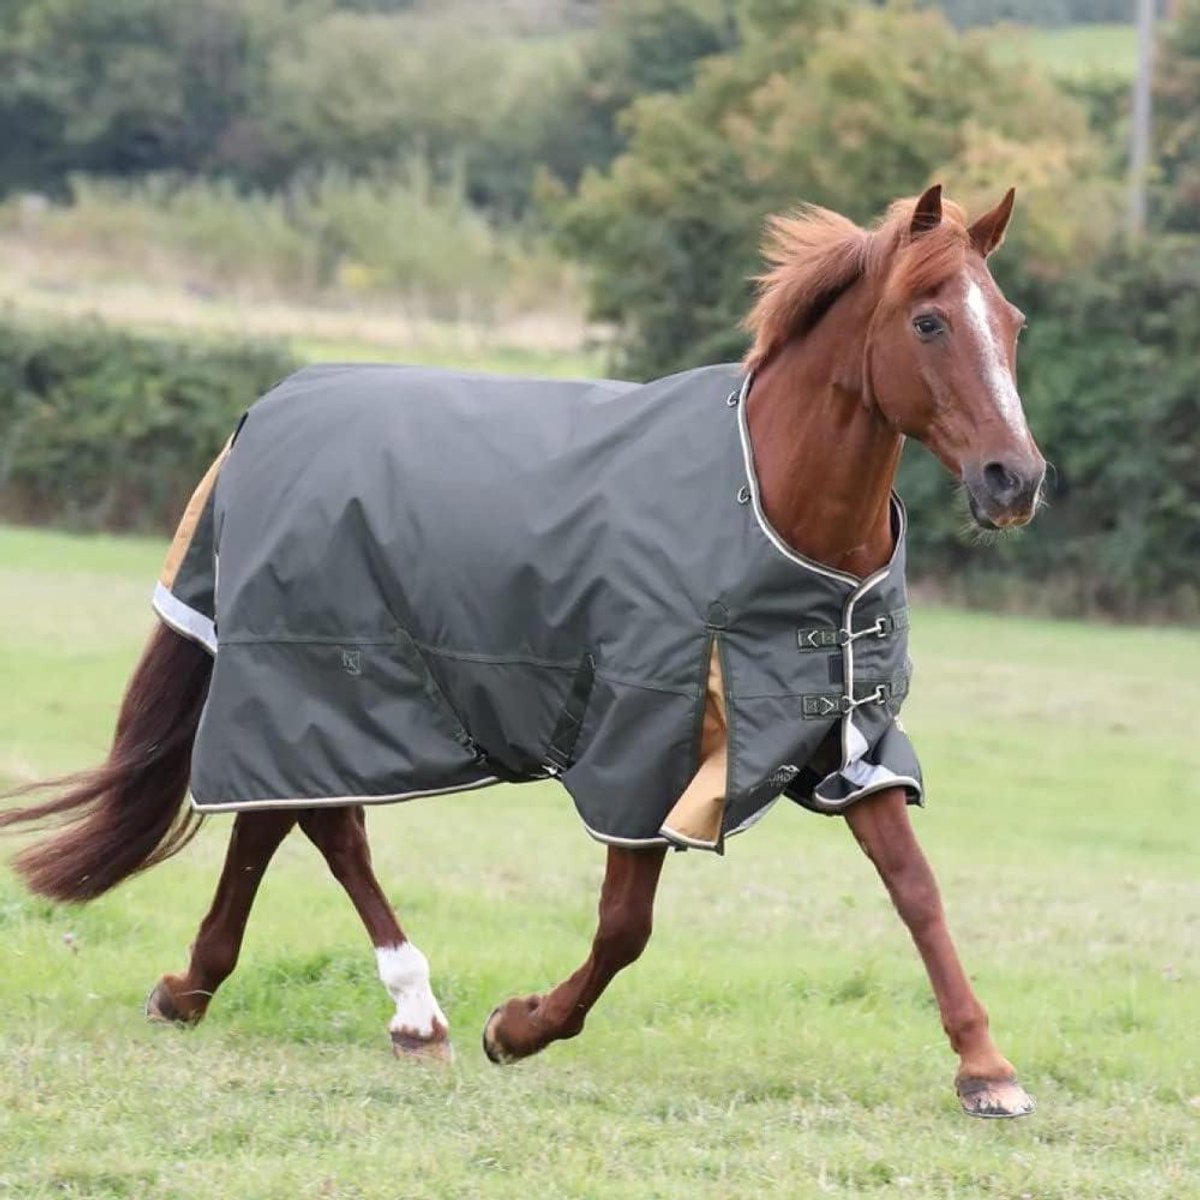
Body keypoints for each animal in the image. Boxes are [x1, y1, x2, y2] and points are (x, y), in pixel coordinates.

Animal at [1, 184, 1045, 1119]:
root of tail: (267, 410)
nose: (1015, 479)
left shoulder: (844, 738)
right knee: (325, 825)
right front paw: (518, 1027)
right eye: (928, 322)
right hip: (323, 673)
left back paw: (206, 990)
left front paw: (986, 1071)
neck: (773, 510)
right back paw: (410, 1010)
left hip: (312, 689)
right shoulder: (644, 739)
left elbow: (917, 890)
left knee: (279, 814)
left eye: (1011, 322)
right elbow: (625, 928)